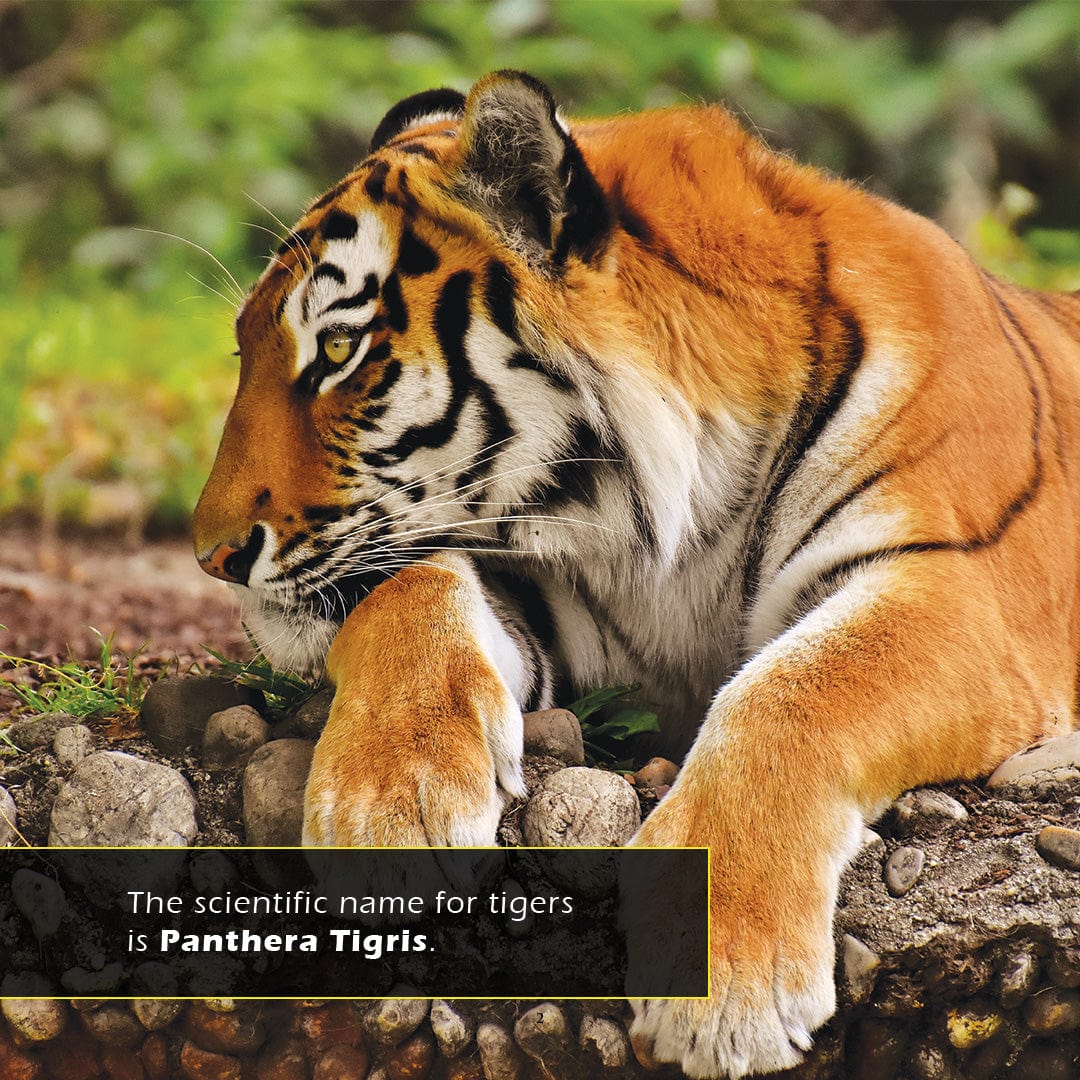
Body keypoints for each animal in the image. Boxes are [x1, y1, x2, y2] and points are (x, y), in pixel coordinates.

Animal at [192, 70, 1080, 1078]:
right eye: (243, 350)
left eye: (340, 353)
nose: (211, 553)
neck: (671, 524)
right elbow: (407, 587)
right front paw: (387, 805)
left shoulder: (960, 587)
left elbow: (797, 691)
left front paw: (721, 991)